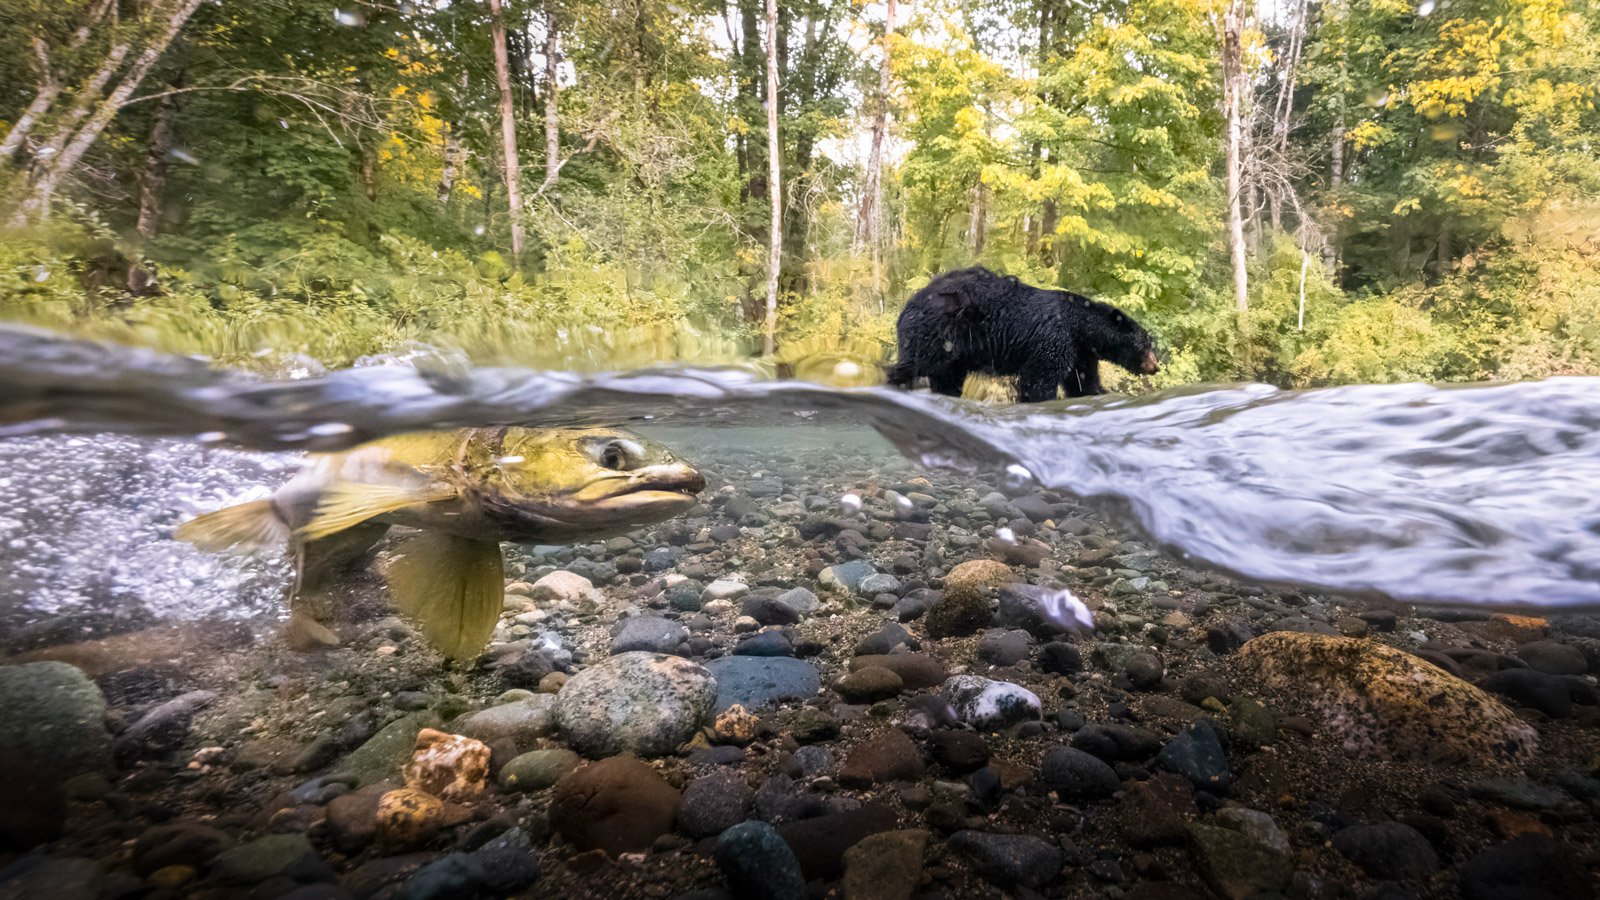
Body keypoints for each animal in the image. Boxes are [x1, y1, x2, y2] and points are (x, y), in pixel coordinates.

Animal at [889, 264, 1164, 400]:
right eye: (1147, 345)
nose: (1155, 366)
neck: (1082, 327)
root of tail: (910, 303)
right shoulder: (1055, 338)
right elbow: (1039, 377)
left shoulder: (1080, 350)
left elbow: (1081, 380)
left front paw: (1097, 391)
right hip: (938, 332)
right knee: (917, 362)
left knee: (947, 375)